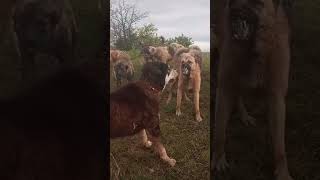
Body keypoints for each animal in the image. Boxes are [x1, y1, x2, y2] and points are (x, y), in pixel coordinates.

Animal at [214, 0, 294, 180]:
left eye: (255, 2)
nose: (234, 13)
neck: (254, 51)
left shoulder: (277, 98)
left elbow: (280, 145)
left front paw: (282, 172)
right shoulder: (224, 88)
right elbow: (220, 131)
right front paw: (218, 159)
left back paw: (244, 116)